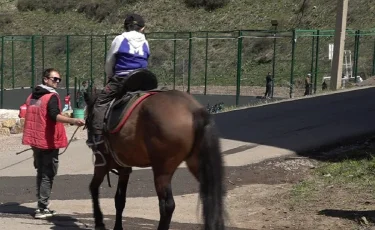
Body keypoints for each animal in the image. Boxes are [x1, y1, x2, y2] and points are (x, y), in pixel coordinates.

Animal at [84, 86, 226, 228]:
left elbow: (93, 187)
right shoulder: (124, 169)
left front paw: (99, 222)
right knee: (212, 197)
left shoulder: (102, 163)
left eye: (88, 117)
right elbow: (119, 200)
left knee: (167, 205)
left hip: (162, 170)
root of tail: (193, 109)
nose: (90, 140)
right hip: (197, 165)